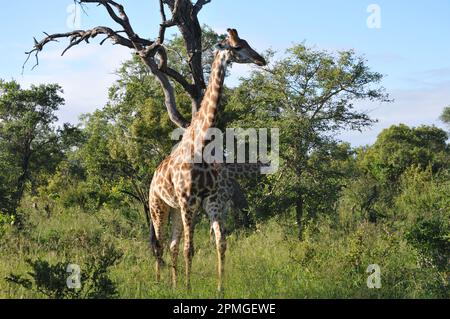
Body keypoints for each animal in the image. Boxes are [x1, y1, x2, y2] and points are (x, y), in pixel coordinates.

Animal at [149, 28, 266, 294]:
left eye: (247, 42)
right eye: (237, 47)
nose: (260, 59)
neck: (200, 145)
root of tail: (152, 179)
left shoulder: (207, 201)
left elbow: (218, 243)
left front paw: (218, 288)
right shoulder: (187, 200)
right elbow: (189, 249)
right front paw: (189, 288)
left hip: (174, 209)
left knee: (171, 245)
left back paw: (172, 284)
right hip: (158, 206)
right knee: (160, 243)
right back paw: (159, 283)